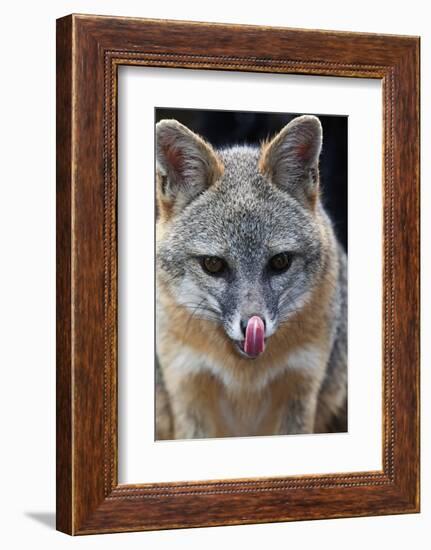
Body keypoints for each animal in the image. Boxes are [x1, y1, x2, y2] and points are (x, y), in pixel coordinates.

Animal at [155, 115, 348, 440]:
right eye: (213, 265)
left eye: (280, 262)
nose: (252, 327)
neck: (244, 377)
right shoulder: (187, 386)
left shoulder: (301, 385)